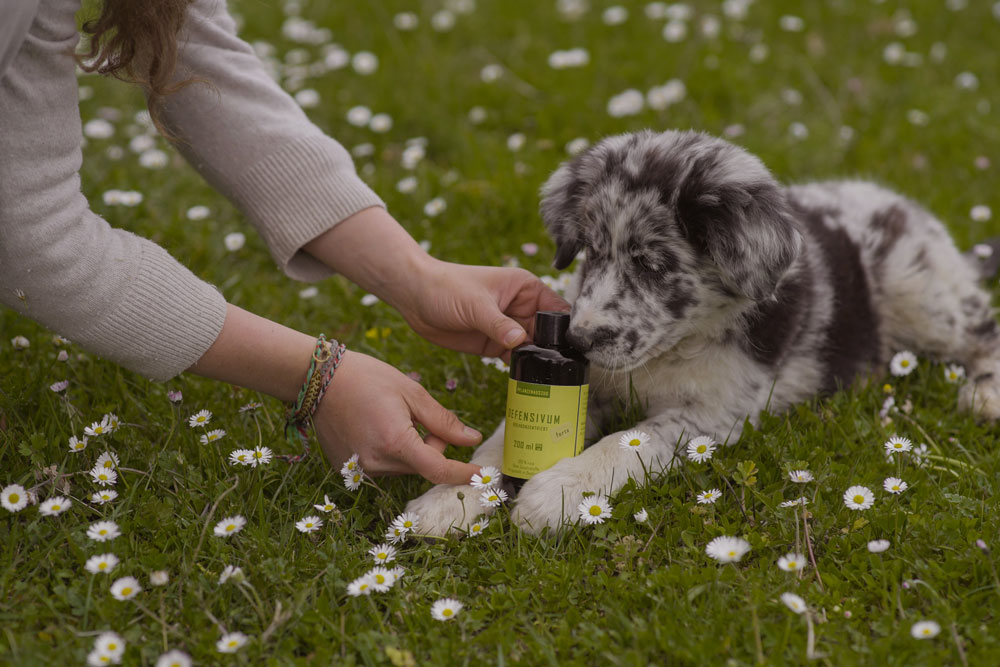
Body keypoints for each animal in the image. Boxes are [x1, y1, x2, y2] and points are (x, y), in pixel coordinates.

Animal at [406, 129, 1000, 536]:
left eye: (653, 265)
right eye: (592, 252)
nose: (577, 341)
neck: (672, 350)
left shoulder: (713, 414)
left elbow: (627, 443)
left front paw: (555, 493)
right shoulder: (589, 384)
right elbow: (502, 436)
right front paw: (450, 496)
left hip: (919, 293)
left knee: (981, 326)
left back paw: (985, 395)